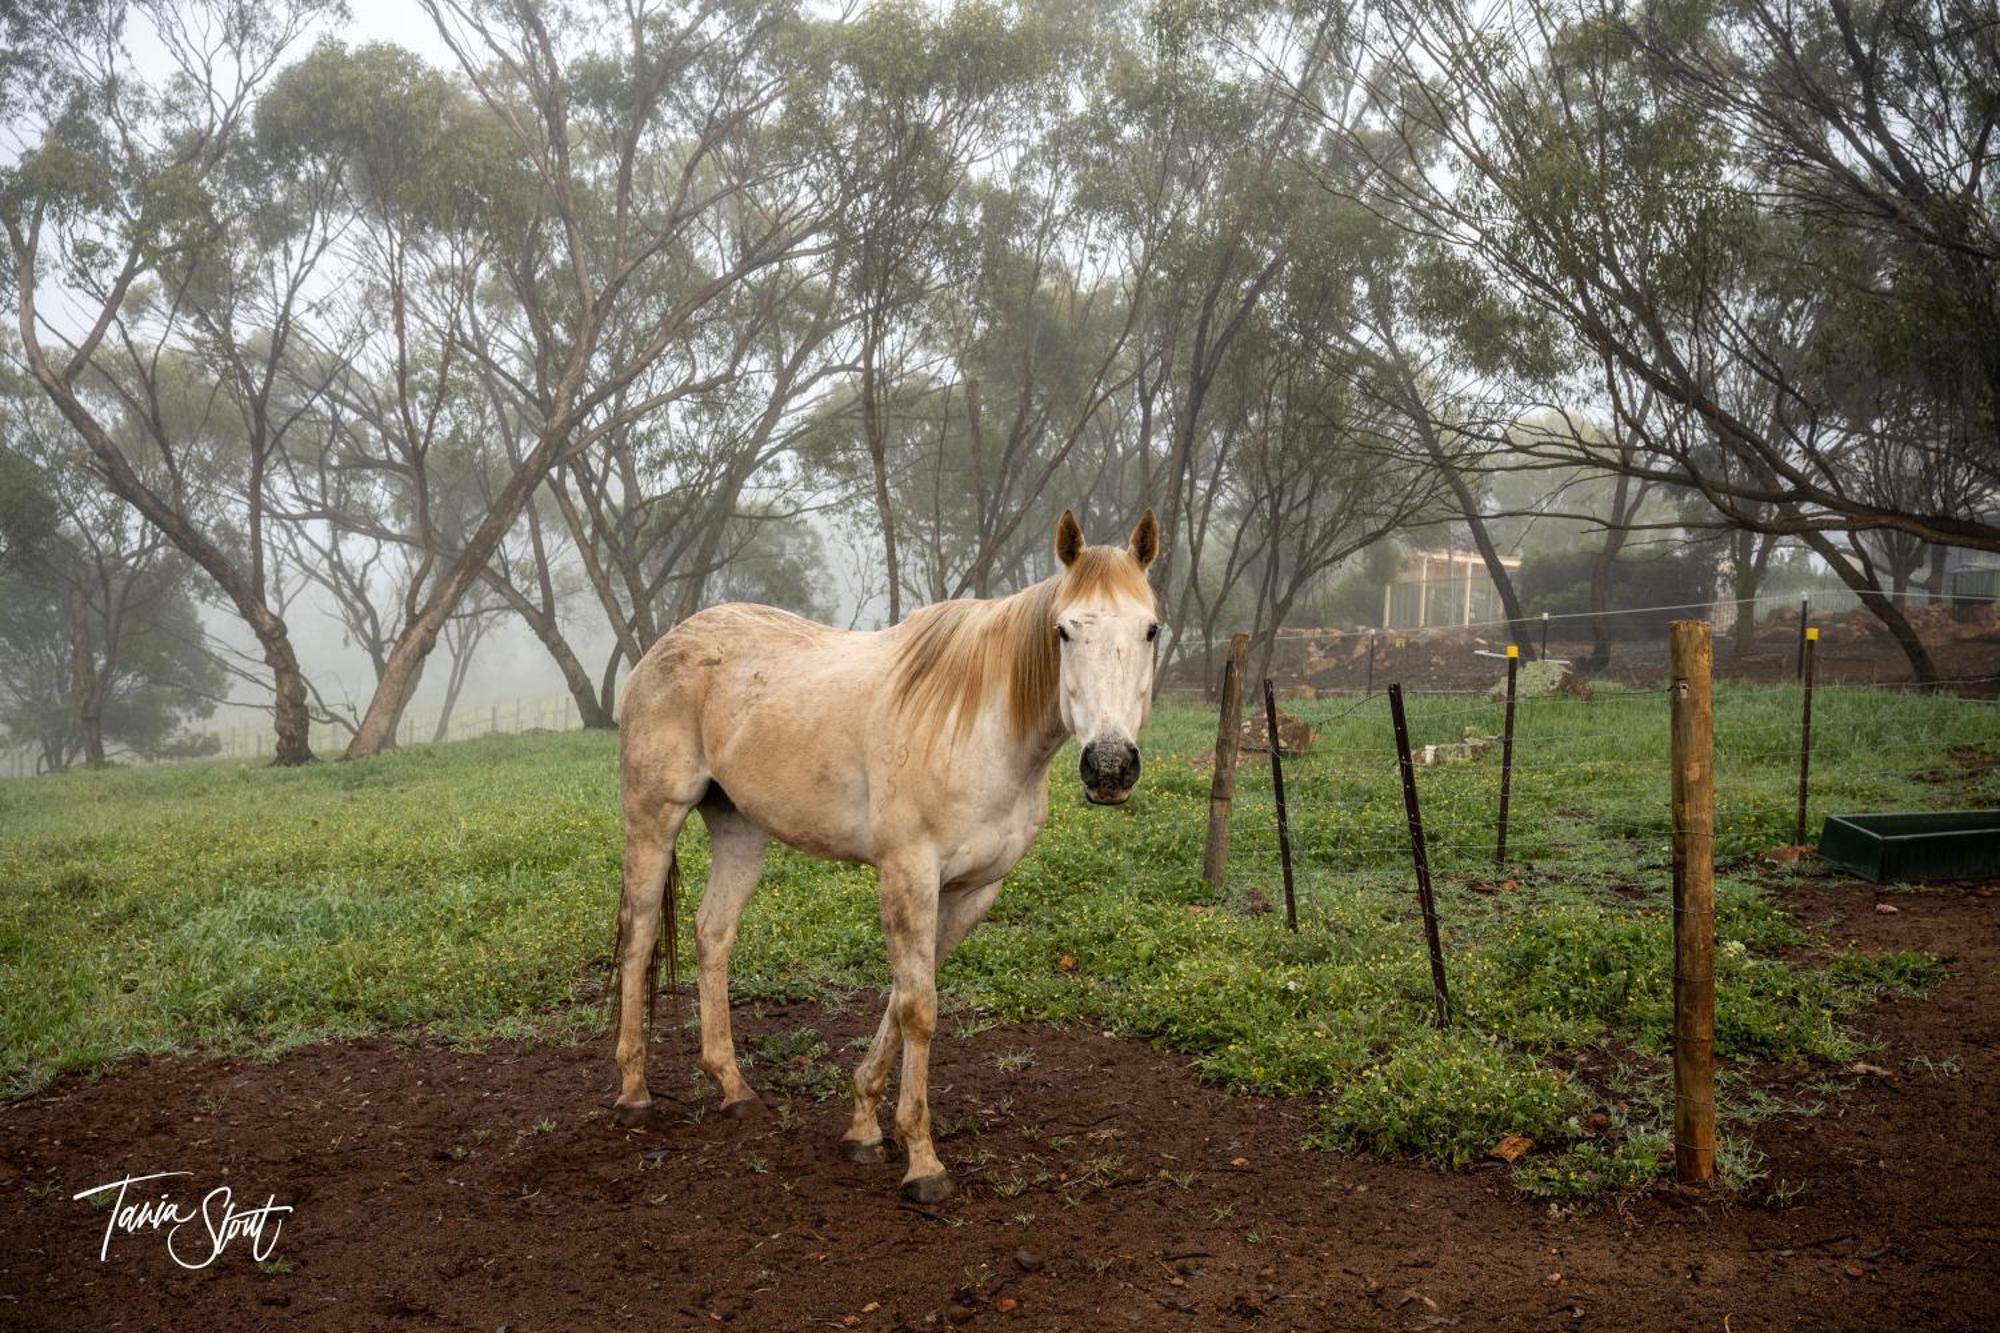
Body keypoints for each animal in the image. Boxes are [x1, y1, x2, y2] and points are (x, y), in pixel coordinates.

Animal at [616, 506, 1168, 1192]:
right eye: (1064, 631)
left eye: (1151, 630)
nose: (1110, 766)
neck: (980, 728)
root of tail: (666, 645)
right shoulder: (908, 874)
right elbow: (919, 1009)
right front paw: (923, 1163)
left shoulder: (970, 892)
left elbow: (905, 998)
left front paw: (863, 1126)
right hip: (653, 819)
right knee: (638, 936)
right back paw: (633, 1093)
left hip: (739, 829)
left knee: (712, 934)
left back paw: (735, 1089)